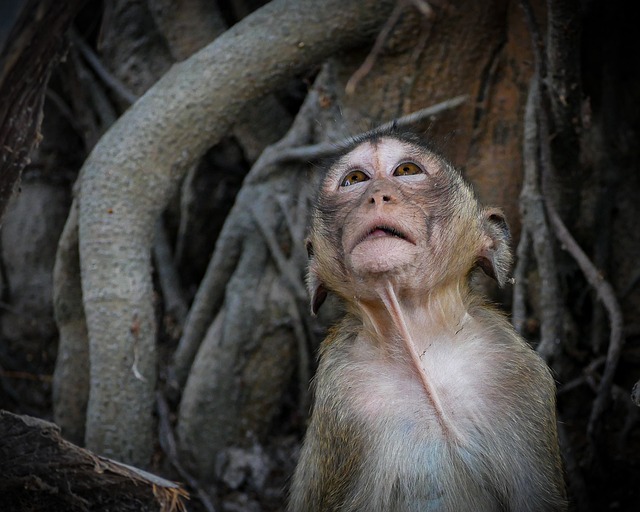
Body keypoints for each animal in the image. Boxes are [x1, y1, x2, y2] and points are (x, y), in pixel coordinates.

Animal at [288, 133, 568, 512]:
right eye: (355, 180)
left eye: (406, 171)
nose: (377, 195)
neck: (420, 344)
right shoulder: (343, 402)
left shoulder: (518, 375)